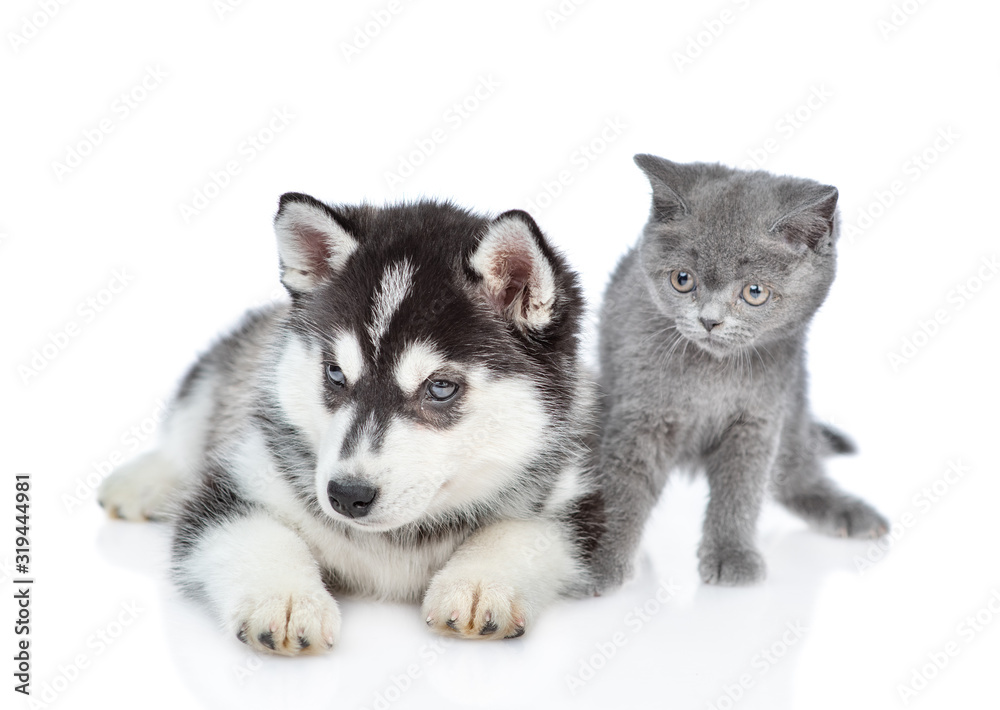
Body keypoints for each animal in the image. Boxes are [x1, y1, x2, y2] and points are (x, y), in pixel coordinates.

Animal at [588, 156, 888, 588]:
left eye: (754, 292)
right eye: (682, 280)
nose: (709, 321)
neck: (712, 374)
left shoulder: (758, 420)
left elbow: (742, 487)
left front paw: (731, 554)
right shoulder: (642, 415)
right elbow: (623, 483)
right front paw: (598, 561)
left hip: (794, 404)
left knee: (795, 468)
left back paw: (845, 510)